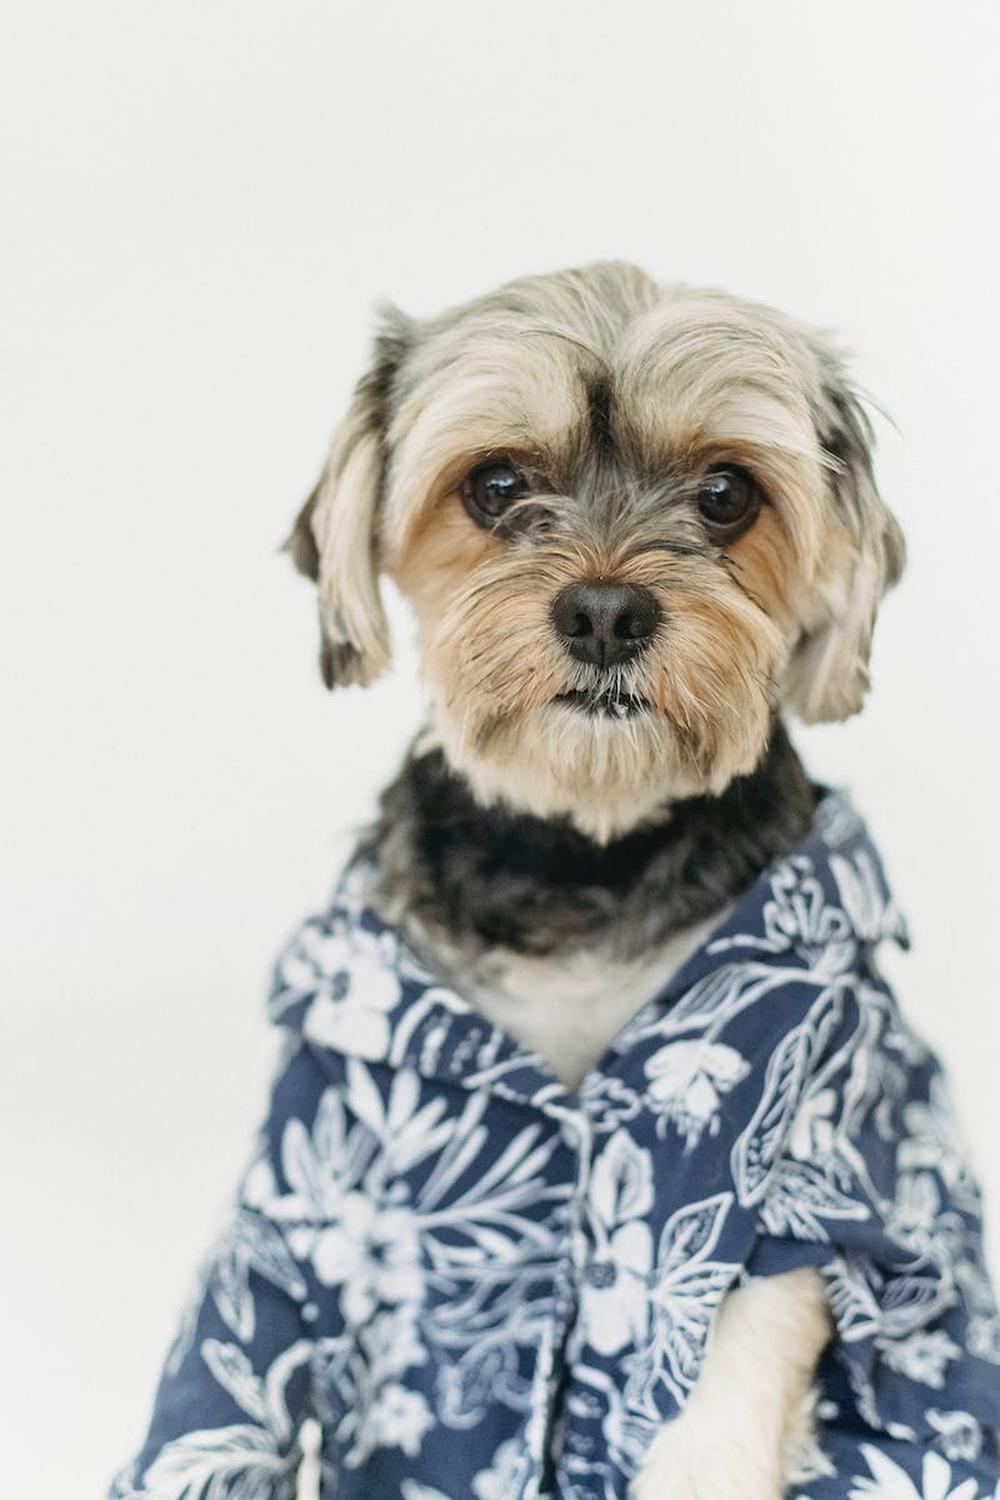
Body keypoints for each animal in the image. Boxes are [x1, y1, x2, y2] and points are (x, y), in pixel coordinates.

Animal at [283, 264, 905, 1494]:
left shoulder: (793, 1171)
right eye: (495, 484)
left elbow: (726, 1367)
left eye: (727, 494)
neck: (585, 854)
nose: (608, 612)